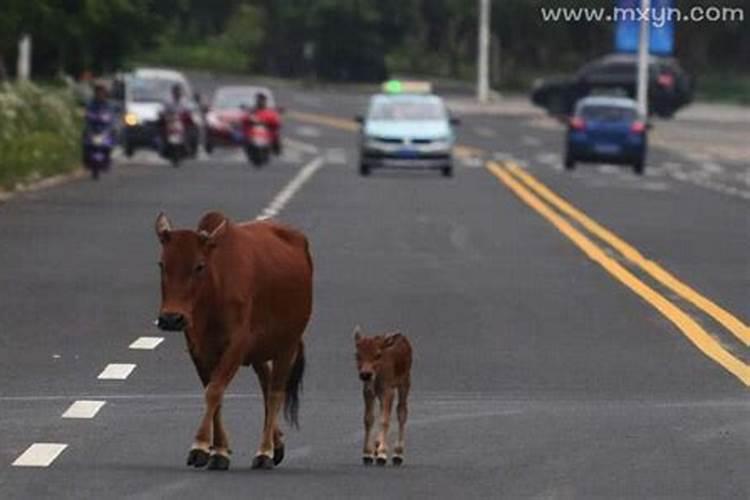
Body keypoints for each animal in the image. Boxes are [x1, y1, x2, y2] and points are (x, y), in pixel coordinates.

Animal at [154, 213, 312, 470]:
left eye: (199, 266)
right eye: (162, 264)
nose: (171, 318)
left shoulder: (237, 344)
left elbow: (214, 391)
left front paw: (200, 446)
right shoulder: (198, 349)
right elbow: (213, 392)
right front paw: (218, 450)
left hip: (287, 345)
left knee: (275, 393)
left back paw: (265, 452)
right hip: (259, 353)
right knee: (266, 382)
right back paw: (277, 445)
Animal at [356, 326, 414, 466]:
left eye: (378, 355)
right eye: (357, 355)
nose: (365, 374)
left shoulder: (388, 391)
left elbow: (384, 420)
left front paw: (382, 454)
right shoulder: (368, 391)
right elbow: (368, 419)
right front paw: (368, 454)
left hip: (405, 383)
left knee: (402, 412)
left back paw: (398, 454)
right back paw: (377, 446)